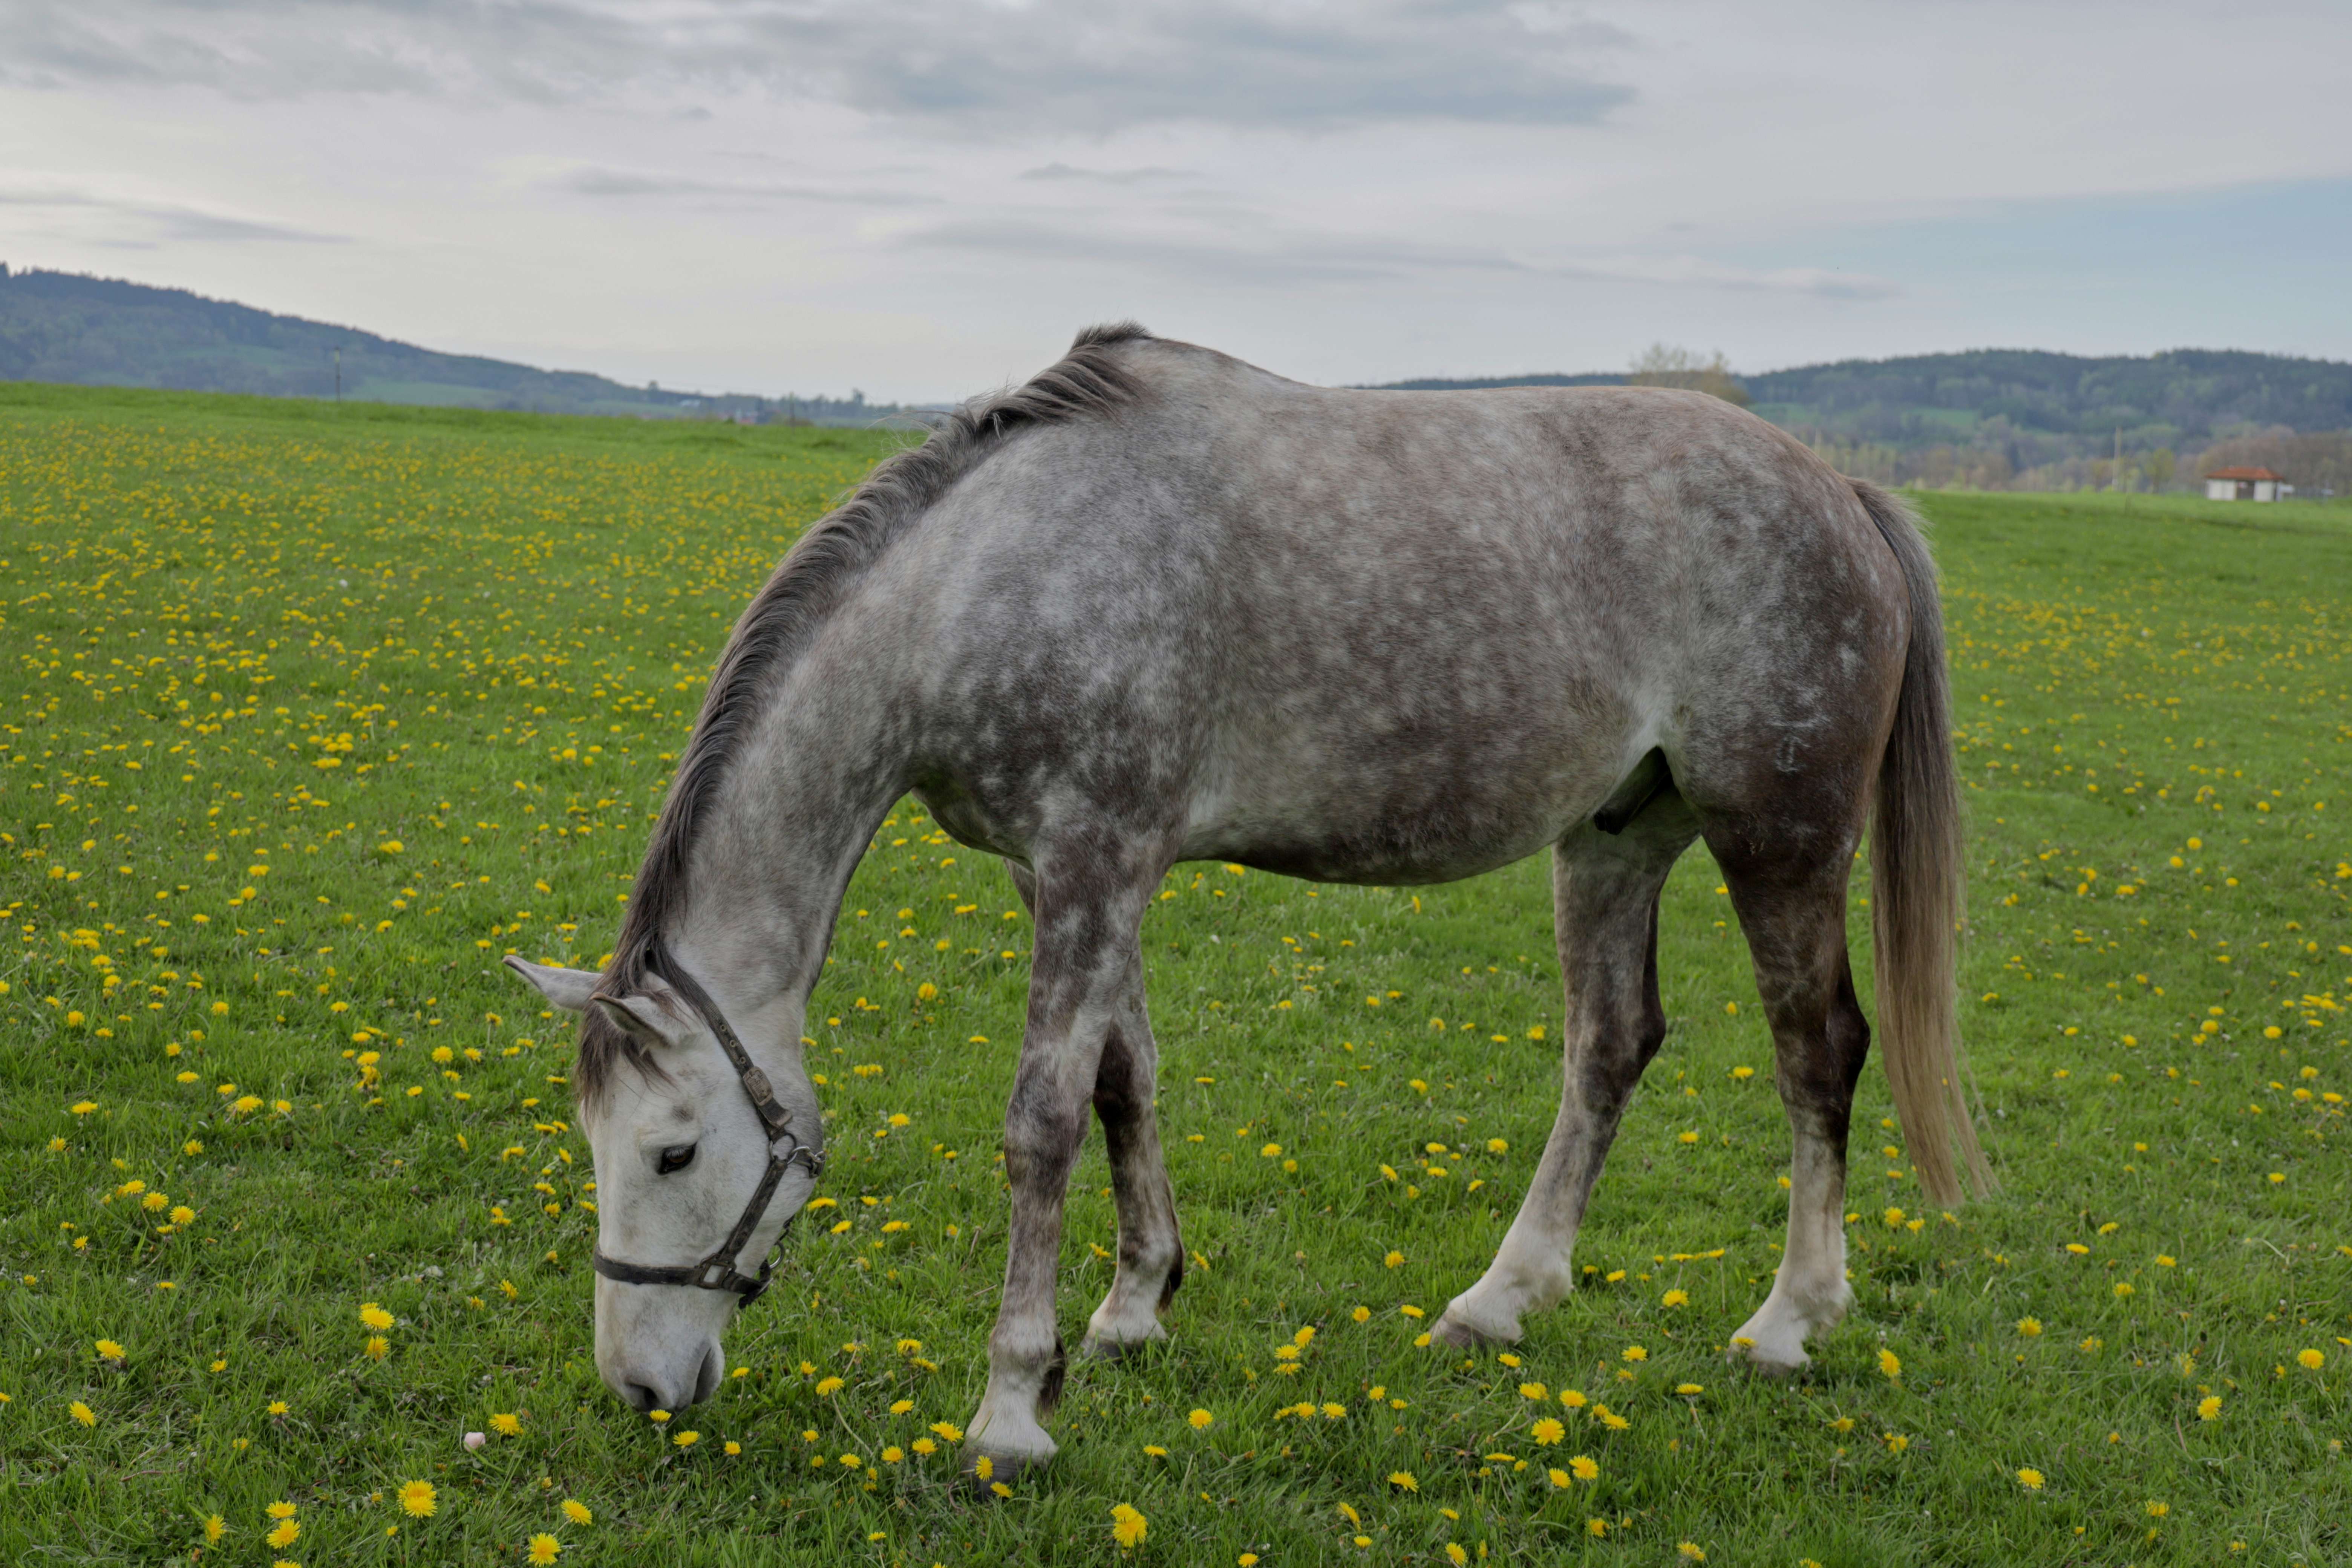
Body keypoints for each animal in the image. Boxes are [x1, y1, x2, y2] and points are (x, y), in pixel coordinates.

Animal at [510, 322, 1985, 1485]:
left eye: (671, 1154)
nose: (638, 1385)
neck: (997, 578)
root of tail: (1841, 490)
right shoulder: (1072, 871)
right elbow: (1126, 1078)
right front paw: (1132, 1308)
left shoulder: (1096, 858)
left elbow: (1042, 1123)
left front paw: (1012, 1408)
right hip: (1617, 838)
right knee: (1610, 1047)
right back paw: (1500, 1301)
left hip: (1778, 842)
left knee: (1817, 1053)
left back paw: (1789, 1324)